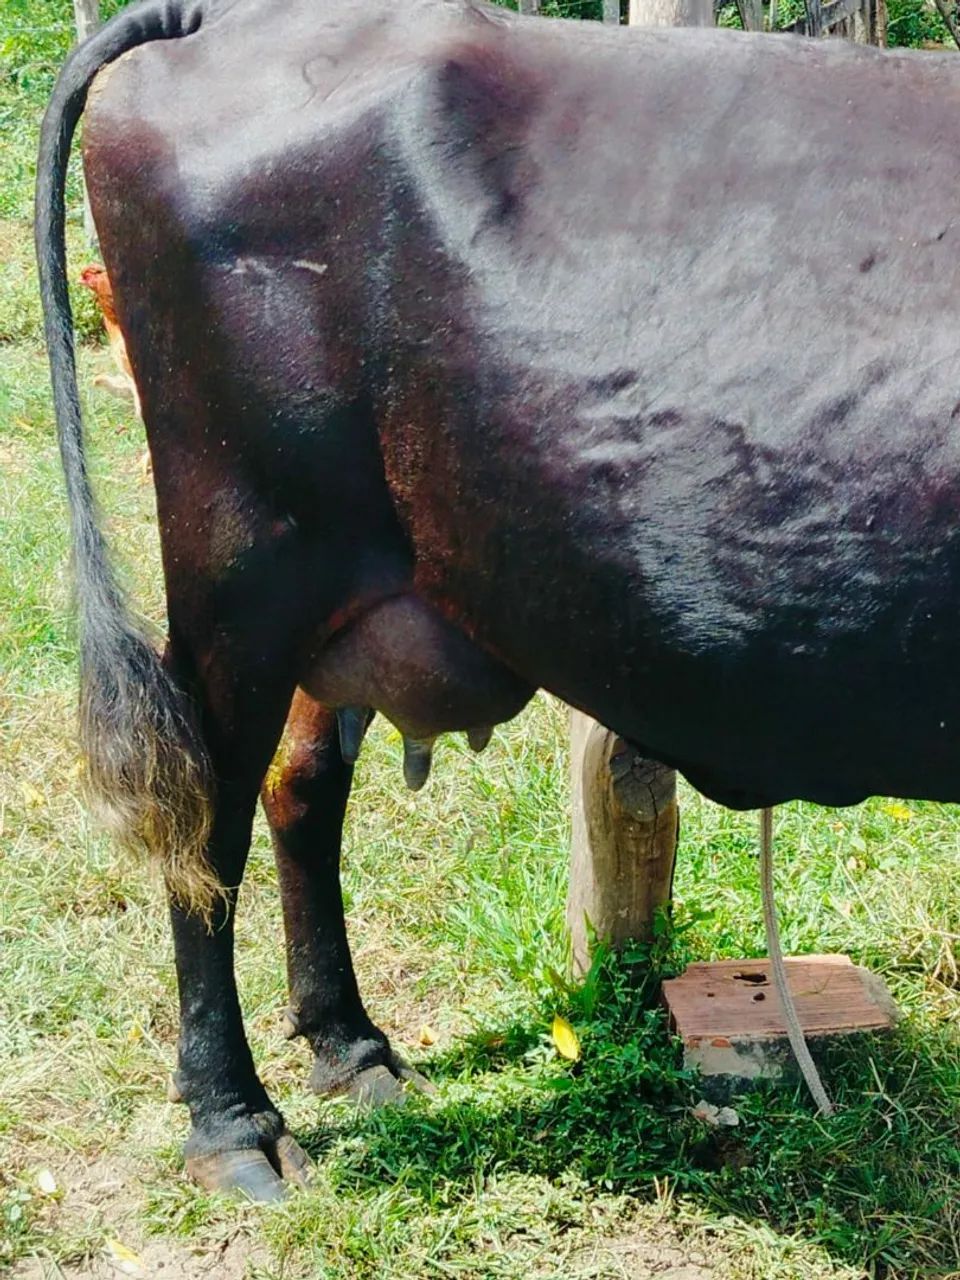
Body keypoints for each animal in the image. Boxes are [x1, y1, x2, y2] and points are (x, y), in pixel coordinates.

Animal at [36, 0, 960, 1200]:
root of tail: (221, 21)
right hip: (239, 553)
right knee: (205, 823)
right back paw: (233, 1122)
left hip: (350, 587)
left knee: (301, 787)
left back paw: (351, 1045)